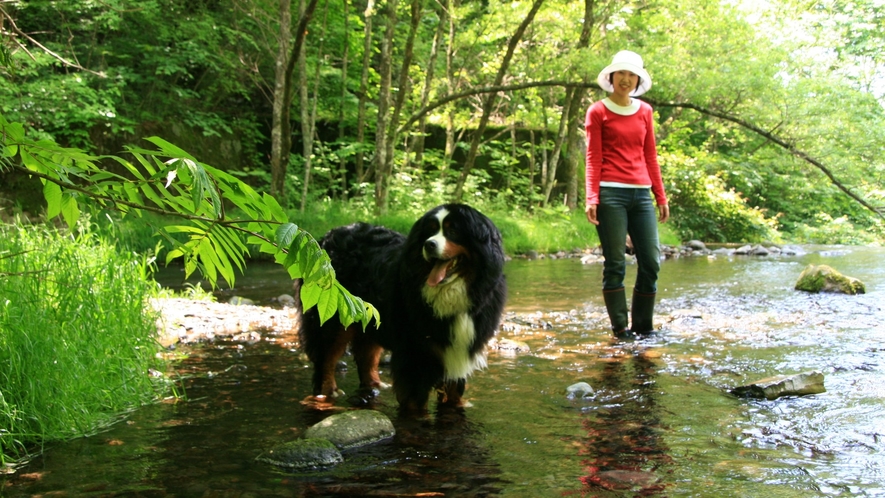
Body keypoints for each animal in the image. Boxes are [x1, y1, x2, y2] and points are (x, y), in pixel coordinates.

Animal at [296, 202, 504, 412]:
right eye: (430, 231)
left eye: (453, 231)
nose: (429, 244)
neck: (452, 291)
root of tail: (325, 237)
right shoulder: (414, 354)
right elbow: (415, 401)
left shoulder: (457, 351)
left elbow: (453, 395)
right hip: (331, 319)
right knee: (326, 358)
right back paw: (327, 393)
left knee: (366, 356)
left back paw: (375, 386)